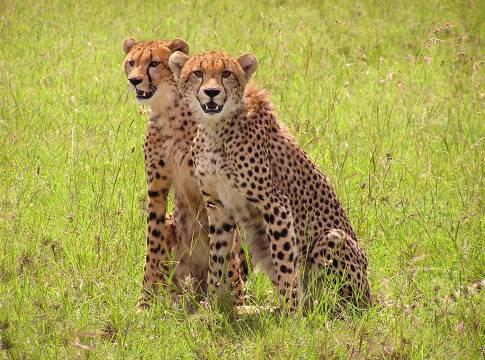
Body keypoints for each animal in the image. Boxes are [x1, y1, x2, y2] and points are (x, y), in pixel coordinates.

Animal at [121, 37, 246, 310]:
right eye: (131, 62)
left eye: (154, 63)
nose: (134, 80)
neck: (168, 111)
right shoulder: (156, 187)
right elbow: (152, 244)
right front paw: (145, 302)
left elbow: (221, 246)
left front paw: (226, 300)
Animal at [168, 50, 368, 310]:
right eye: (197, 73)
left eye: (226, 73)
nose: (212, 92)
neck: (216, 128)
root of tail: (370, 298)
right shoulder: (218, 206)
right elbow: (217, 258)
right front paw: (212, 305)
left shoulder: (276, 204)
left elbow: (285, 262)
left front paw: (291, 313)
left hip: (333, 240)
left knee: (338, 304)